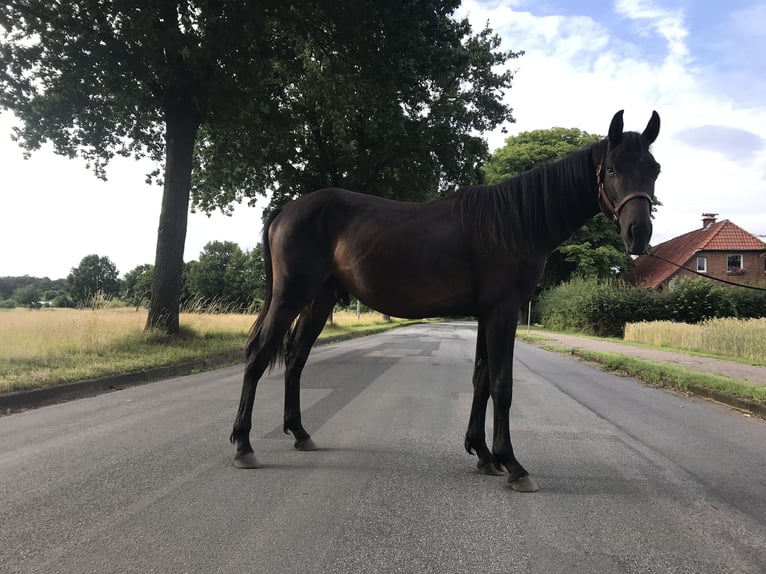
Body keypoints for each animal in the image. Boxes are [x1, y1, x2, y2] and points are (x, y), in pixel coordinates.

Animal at [231, 110, 664, 492]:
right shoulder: (502, 311)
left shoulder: (488, 314)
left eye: (655, 169)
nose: (638, 234)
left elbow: (481, 379)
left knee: (295, 357)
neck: (517, 221)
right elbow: (502, 384)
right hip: (291, 295)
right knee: (259, 355)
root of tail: (287, 210)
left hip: (318, 299)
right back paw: (243, 445)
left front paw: (484, 454)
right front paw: (513, 465)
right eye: (612, 169)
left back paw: (300, 433)